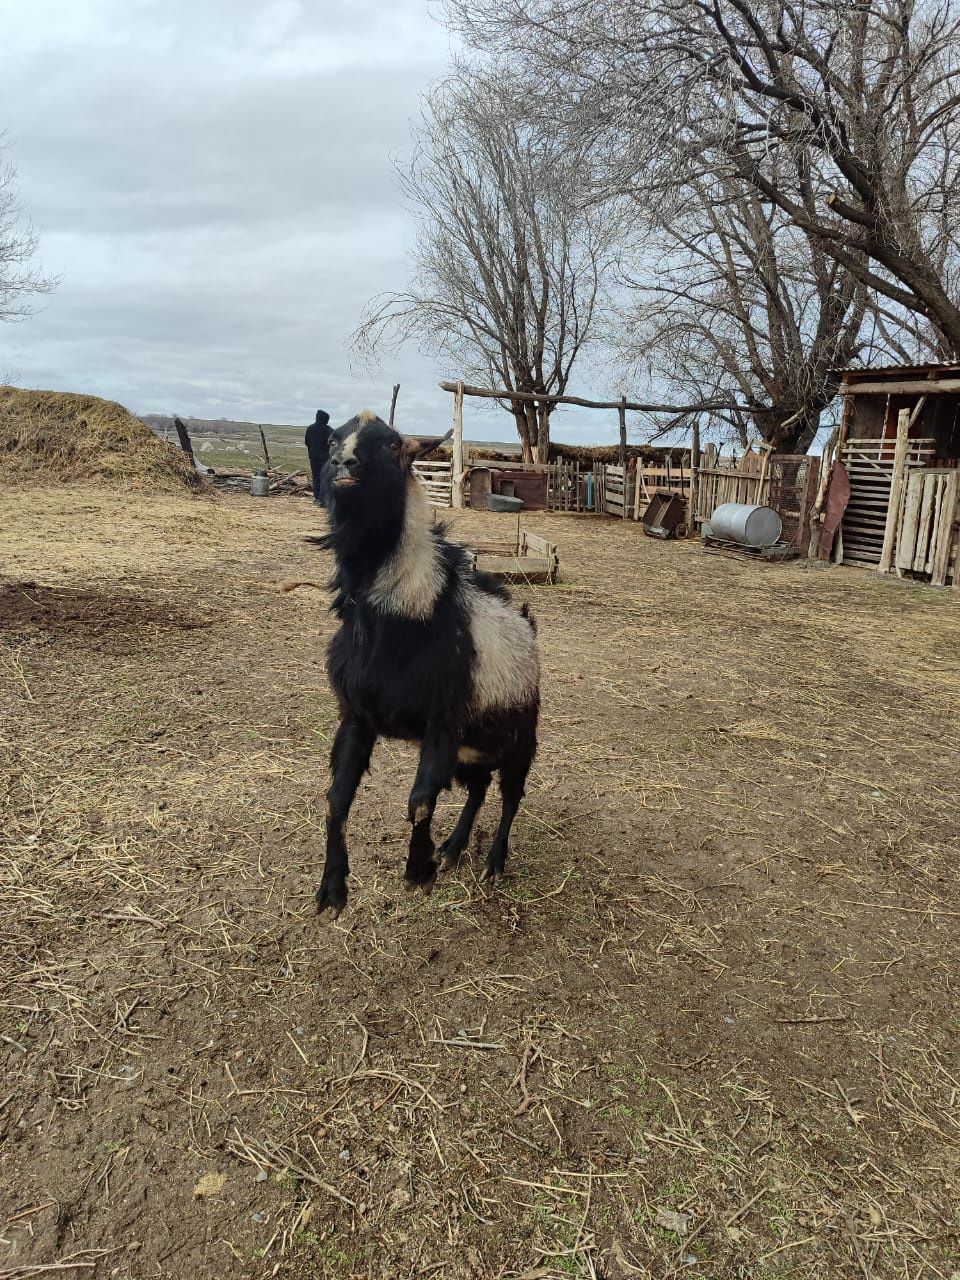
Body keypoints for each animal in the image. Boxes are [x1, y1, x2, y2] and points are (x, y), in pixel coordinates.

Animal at [316, 409, 542, 911]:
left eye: (393, 443)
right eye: (333, 438)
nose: (343, 463)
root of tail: (527, 624)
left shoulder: (444, 720)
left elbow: (419, 801)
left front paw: (417, 871)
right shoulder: (357, 716)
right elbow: (337, 798)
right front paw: (332, 888)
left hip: (519, 740)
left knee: (511, 796)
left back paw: (494, 861)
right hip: (473, 751)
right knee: (478, 791)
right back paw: (454, 848)